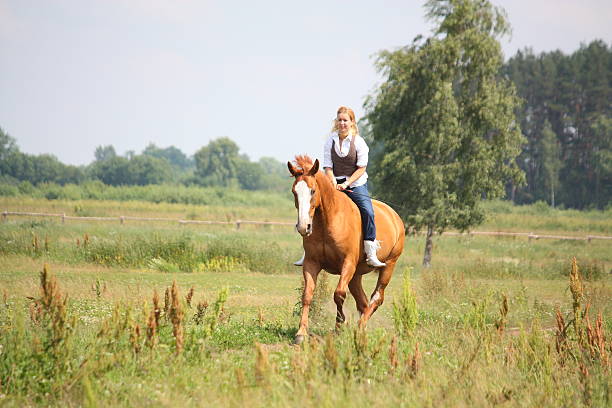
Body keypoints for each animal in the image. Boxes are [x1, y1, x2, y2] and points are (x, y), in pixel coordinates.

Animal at [288, 156, 404, 344]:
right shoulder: (311, 263)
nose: (303, 227)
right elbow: (307, 295)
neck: (327, 220)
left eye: (313, 191)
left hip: (389, 265)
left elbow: (339, 294)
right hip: (356, 275)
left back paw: (359, 327)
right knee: (363, 302)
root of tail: (394, 216)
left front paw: (339, 326)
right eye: (294, 192)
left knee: (377, 297)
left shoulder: (347, 263)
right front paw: (301, 333)